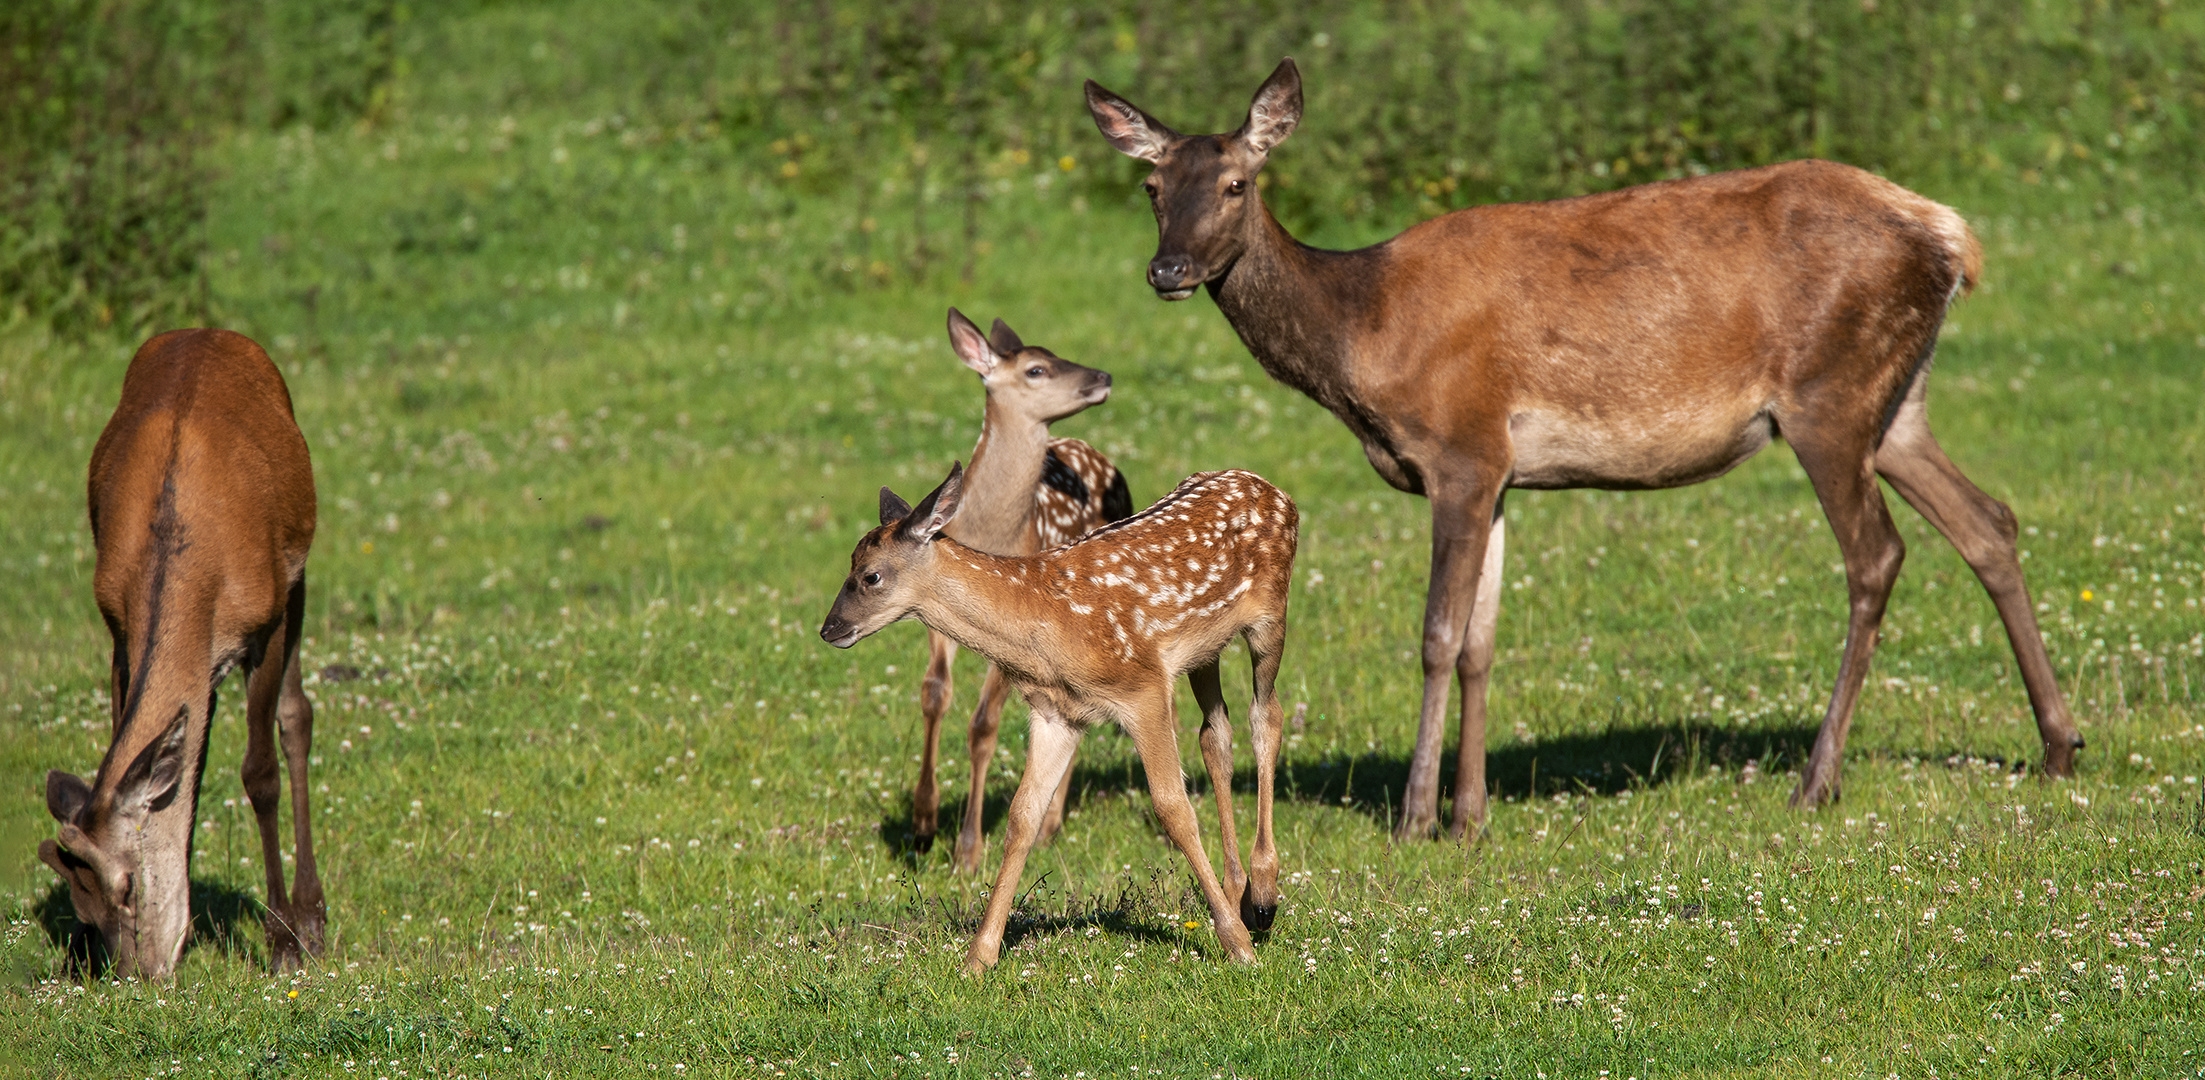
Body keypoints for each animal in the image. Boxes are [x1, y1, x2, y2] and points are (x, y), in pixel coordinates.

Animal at [36, 328, 321, 978]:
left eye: (128, 887)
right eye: (81, 908)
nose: (138, 976)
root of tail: (209, 331)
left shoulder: (264, 619)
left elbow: (259, 772)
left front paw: (282, 943)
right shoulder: (117, 629)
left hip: (296, 575)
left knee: (298, 717)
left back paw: (314, 919)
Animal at [824, 465, 1287, 969]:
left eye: (871, 575)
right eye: (848, 563)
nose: (829, 628)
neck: (1043, 628)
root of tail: (1267, 485)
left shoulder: (1142, 688)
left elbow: (1173, 809)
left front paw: (1237, 945)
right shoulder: (1055, 713)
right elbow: (1022, 817)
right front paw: (979, 957)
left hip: (1270, 617)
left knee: (1267, 716)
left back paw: (1263, 897)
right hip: (1206, 651)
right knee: (1215, 732)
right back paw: (1240, 892)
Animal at [908, 306, 1137, 868]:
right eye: (1037, 368)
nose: (1103, 376)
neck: (991, 534)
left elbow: (984, 723)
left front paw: (968, 849)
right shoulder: (933, 613)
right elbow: (934, 694)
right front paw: (923, 822)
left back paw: (1051, 823)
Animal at [1084, 57, 2081, 841]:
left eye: (1235, 184)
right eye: (1151, 189)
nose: (1167, 270)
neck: (1361, 335)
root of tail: (1951, 236)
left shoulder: (1460, 449)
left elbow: (1437, 635)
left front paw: (1414, 817)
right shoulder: (1501, 474)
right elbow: (1482, 641)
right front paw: (1471, 816)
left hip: (1829, 395)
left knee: (1877, 555)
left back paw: (1817, 779)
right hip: (1897, 400)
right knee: (1988, 522)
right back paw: (2058, 746)